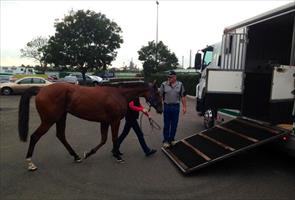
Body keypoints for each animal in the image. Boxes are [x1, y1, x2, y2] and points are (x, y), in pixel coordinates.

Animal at [18, 81, 163, 170]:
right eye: (157, 93)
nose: (161, 109)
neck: (118, 94)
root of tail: (42, 89)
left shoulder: (105, 122)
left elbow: (104, 140)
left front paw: (88, 153)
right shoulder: (114, 121)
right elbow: (114, 138)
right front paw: (118, 156)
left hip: (61, 117)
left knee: (61, 135)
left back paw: (76, 157)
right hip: (49, 120)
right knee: (35, 136)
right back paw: (30, 163)